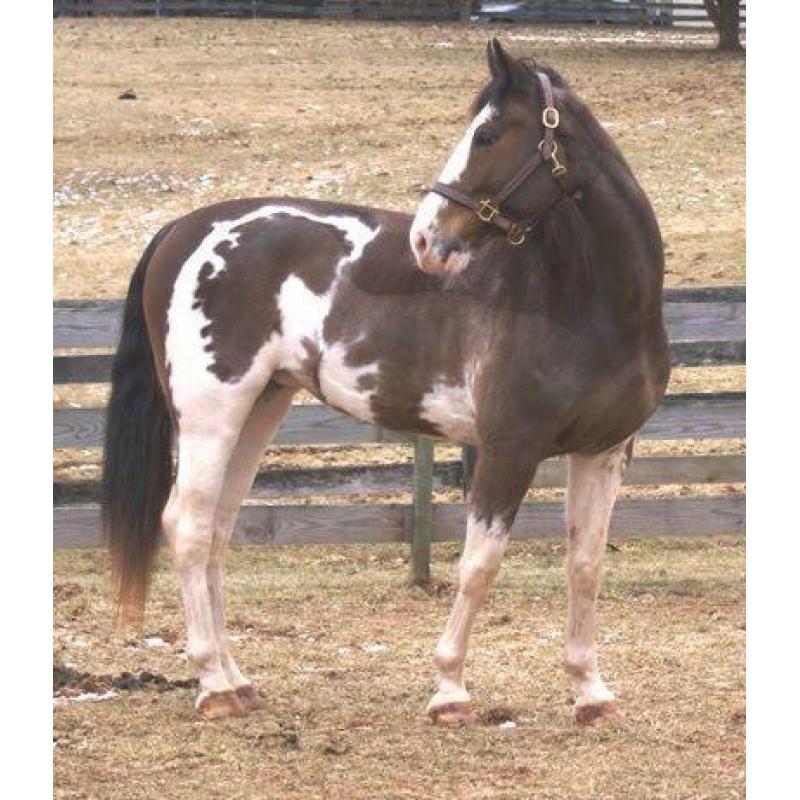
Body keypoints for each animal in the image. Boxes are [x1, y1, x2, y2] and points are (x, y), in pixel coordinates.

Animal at [103, 37, 672, 724]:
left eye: (487, 135)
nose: (427, 239)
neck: (586, 303)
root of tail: (183, 231)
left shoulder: (605, 450)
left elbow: (585, 565)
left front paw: (590, 692)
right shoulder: (508, 448)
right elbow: (479, 565)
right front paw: (450, 689)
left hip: (259, 407)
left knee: (215, 530)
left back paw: (238, 682)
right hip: (211, 412)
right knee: (186, 526)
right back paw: (213, 683)